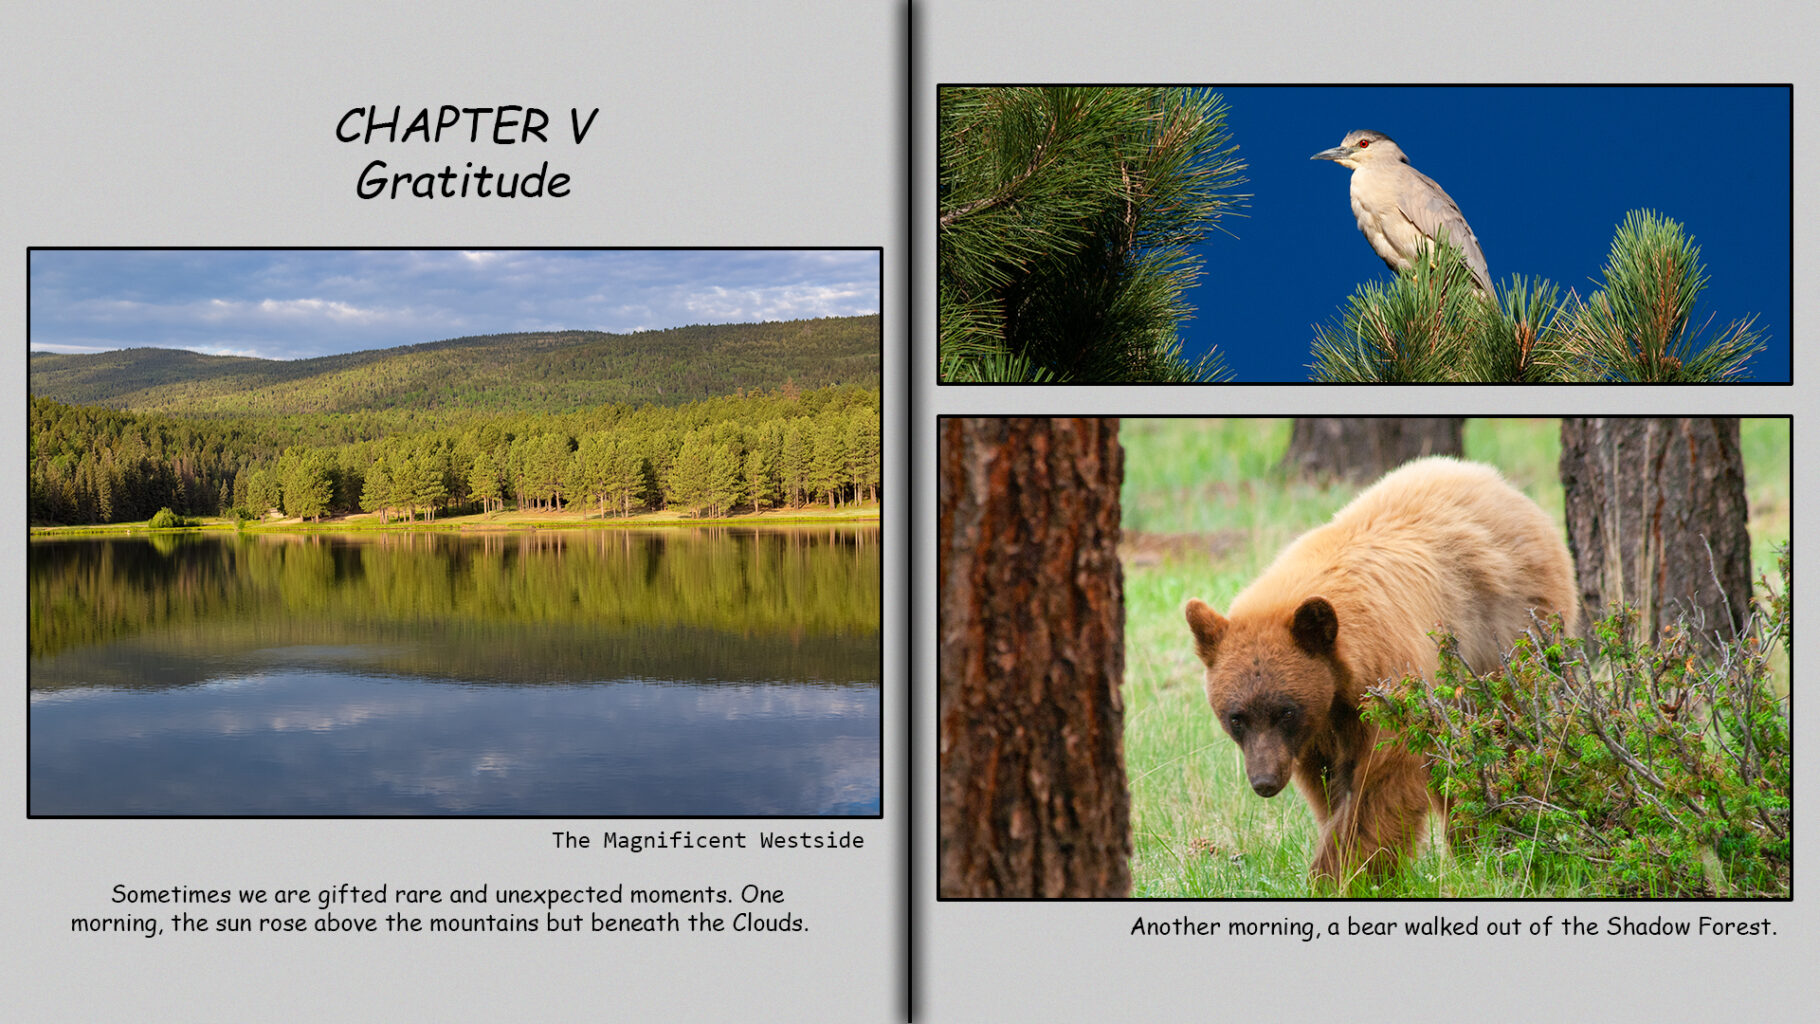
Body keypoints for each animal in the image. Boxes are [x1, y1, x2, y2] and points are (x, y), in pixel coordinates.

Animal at [1183, 456, 1578, 883]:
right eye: (1236, 717)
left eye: (1285, 711)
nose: (1264, 782)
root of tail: (1502, 485)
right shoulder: (1320, 727)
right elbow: (1328, 785)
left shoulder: (1388, 680)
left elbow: (1383, 780)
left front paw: (1346, 871)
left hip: (1510, 639)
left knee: (1505, 735)